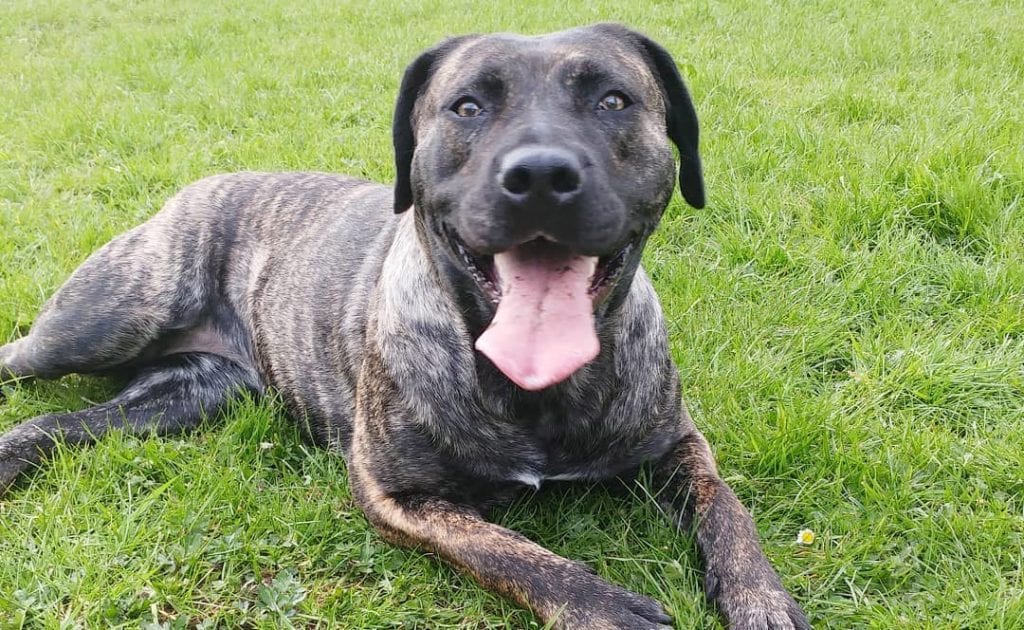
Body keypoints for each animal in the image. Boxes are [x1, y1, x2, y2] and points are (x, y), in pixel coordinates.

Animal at [0, 23, 806, 630]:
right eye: (466, 107)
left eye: (614, 99)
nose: (541, 176)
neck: (531, 385)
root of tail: (202, 183)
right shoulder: (394, 494)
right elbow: (504, 548)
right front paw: (605, 607)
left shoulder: (677, 446)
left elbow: (729, 510)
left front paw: (760, 597)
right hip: (101, 320)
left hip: (186, 396)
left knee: (58, 426)